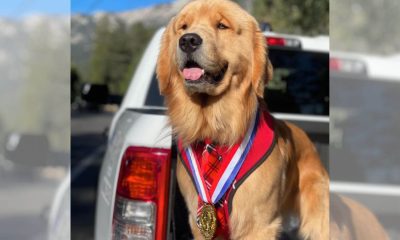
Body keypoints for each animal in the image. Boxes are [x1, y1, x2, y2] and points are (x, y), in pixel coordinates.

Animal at [158, 0, 330, 239]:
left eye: (222, 25)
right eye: (183, 27)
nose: (188, 41)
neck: (216, 132)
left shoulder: (257, 223)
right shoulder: (199, 221)